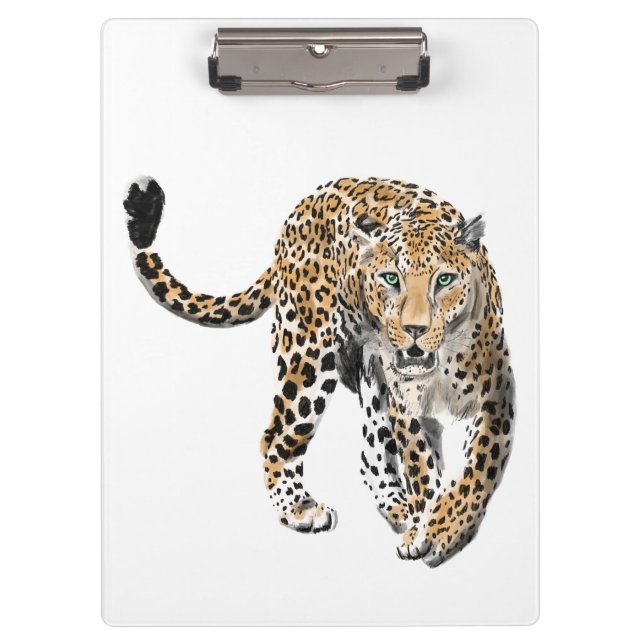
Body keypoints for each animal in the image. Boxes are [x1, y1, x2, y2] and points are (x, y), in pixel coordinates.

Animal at [123, 176, 515, 567]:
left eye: (445, 280)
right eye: (391, 279)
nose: (414, 329)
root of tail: (302, 207)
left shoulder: (496, 394)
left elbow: (478, 470)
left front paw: (440, 527)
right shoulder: (406, 406)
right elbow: (421, 467)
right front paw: (428, 529)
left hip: (369, 380)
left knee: (369, 454)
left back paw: (399, 511)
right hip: (308, 355)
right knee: (276, 436)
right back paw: (300, 509)